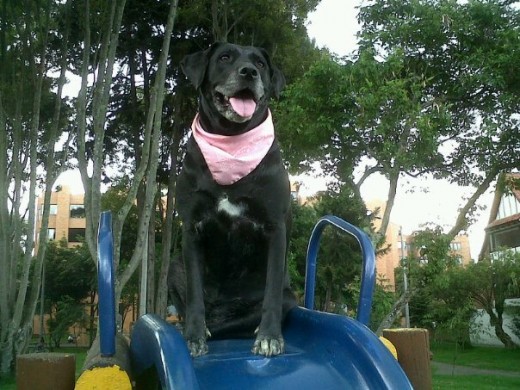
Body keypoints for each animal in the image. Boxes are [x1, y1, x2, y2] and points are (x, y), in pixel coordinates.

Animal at [169, 42, 294, 356]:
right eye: (224, 57)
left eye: (260, 64)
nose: (248, 72)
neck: (232, 141)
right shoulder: (191, 228)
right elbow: (194, 295)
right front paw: (194, 335)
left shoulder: (275, 228)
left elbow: (271, 294)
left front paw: (269, 337)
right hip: (174, 266)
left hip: (289, 296)